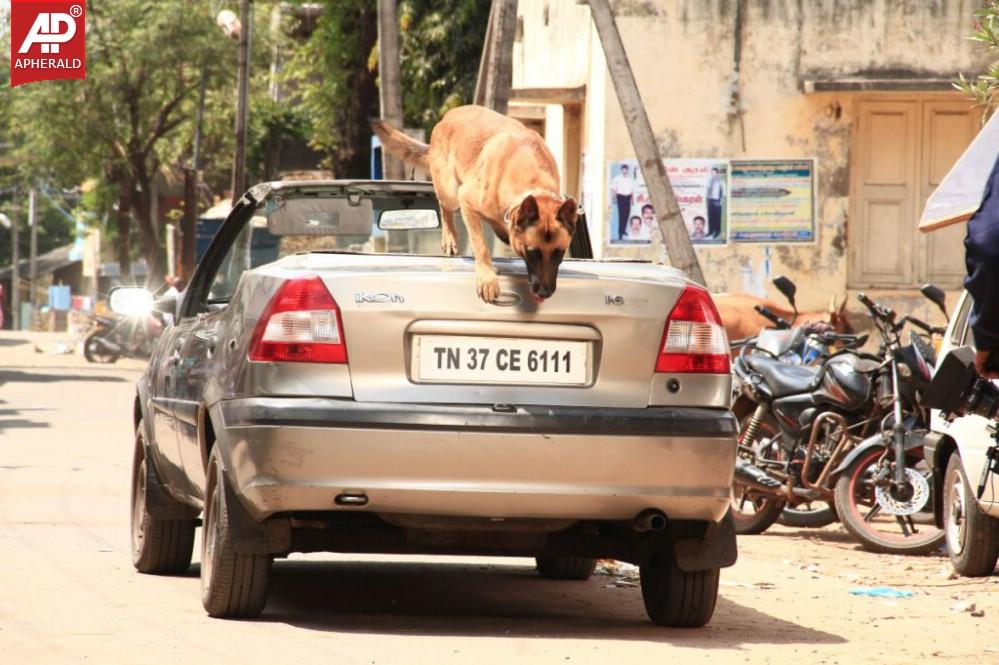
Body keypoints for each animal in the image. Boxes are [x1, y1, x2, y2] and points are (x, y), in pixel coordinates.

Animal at [374, 105, 580, 302]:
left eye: (559, 253)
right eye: (532, 252)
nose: (545, 293)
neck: (533, 185)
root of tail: (446, 117)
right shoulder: (467, 198)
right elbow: (480, 245)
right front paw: (487, 278)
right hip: (450, 193)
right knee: (444, 207)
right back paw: (449, 237)